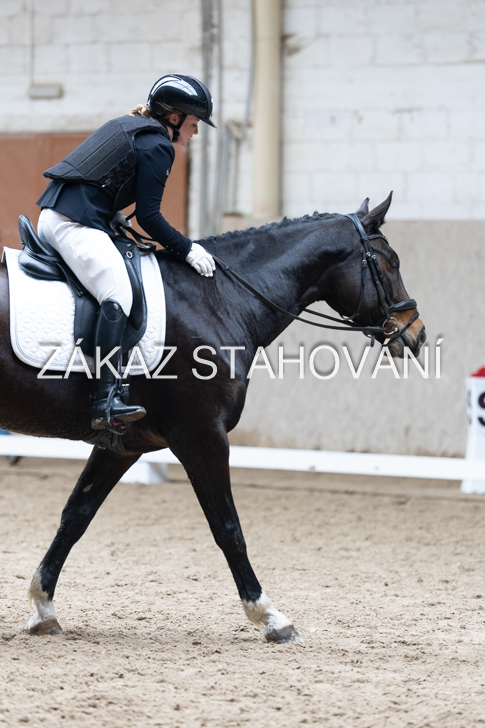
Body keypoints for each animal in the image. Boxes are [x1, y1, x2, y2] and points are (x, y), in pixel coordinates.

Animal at [0, 193, 426, 643]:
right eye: (390, 263)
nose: (416, 335)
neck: (219, 299)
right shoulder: (202, 435)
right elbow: (228, 528)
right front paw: (270, 616)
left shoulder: (124, 446)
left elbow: (75, 517)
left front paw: (43, 608)